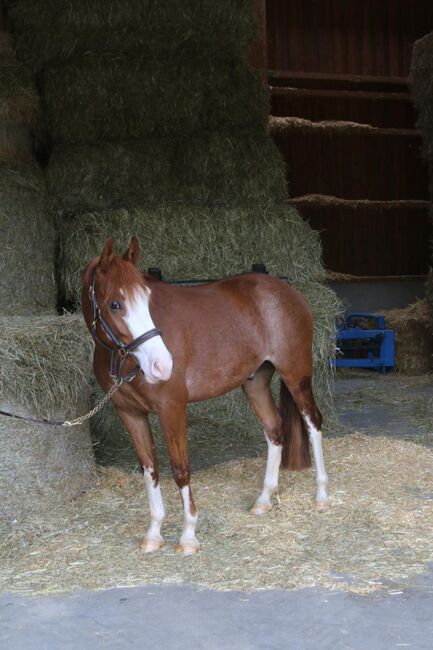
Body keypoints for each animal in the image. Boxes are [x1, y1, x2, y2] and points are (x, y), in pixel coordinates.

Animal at [82, 240, 328, 556]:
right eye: (115, 304)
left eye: (147, 299)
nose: (162, 365)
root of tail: (289, 291)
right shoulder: (130, 413)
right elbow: (150, 468)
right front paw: (153, 533)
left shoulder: (172, 408)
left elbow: (180, 469)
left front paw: (188, 536)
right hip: (255, 382)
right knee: (275, 429)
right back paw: (264, 500)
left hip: (296, 375)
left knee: (313, 424)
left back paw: (322, 495)